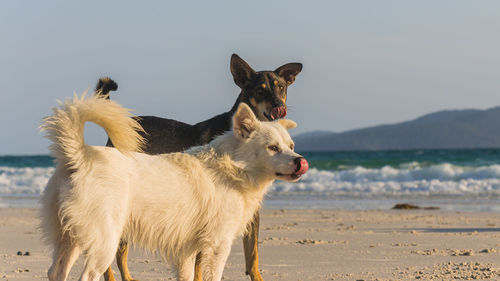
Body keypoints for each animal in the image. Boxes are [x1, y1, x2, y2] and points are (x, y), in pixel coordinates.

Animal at [41, 94, 308, 280]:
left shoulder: (186, 251)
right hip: (104, 243)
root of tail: (78, 156)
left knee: (56, 272)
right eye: (273, 148)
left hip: (70, 238)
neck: (233, 166)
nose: (301, 161)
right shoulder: (217, 245)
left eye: (291, 145)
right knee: (87, 275)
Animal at [97, 53, 300, 280]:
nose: (278, 106)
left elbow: (253, 254)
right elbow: (200, 264)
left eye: (281, 87)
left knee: (120, 251)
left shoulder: (250, 214)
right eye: (260, 90)